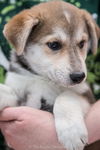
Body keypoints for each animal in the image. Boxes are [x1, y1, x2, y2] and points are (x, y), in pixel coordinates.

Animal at [0, 0, 99, 149]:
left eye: (82, 43)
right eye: (54, 44)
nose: (79, 77)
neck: (42, 78)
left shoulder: (86, 93)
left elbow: (66, 96)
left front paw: (72, 133)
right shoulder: (20, 95)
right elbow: (7, 91)